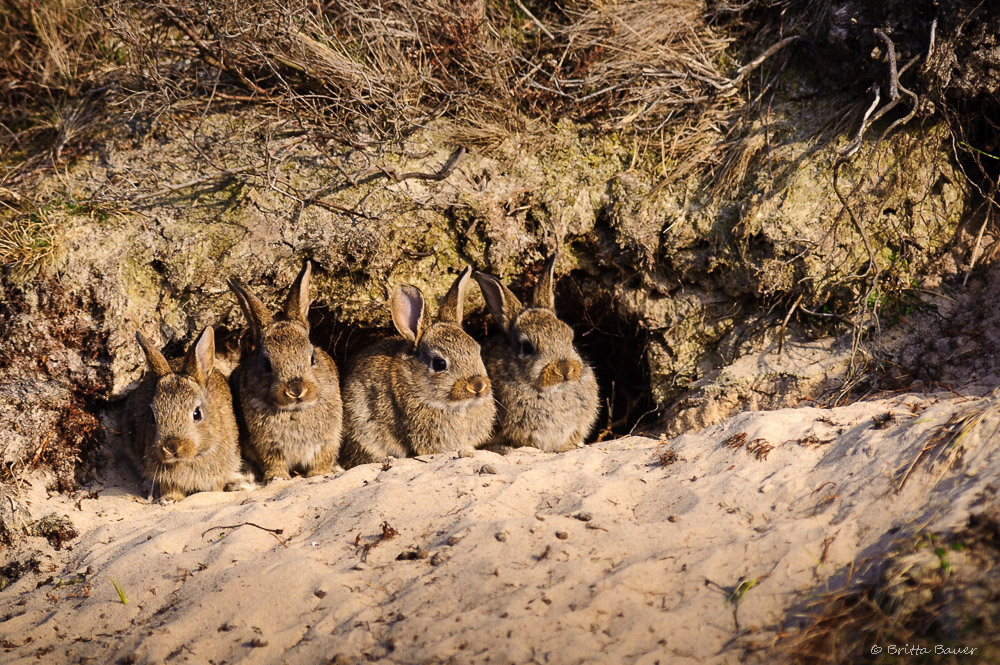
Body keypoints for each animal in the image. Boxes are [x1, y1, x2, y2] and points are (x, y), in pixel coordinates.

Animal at [229, 260, 346, 482]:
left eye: (312, 357)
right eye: (266, 364)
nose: (296, 390)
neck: (295, 411)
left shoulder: (326, 441)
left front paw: (319, 473)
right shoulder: (268, 447)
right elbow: (274, 463)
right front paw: (277, 478)